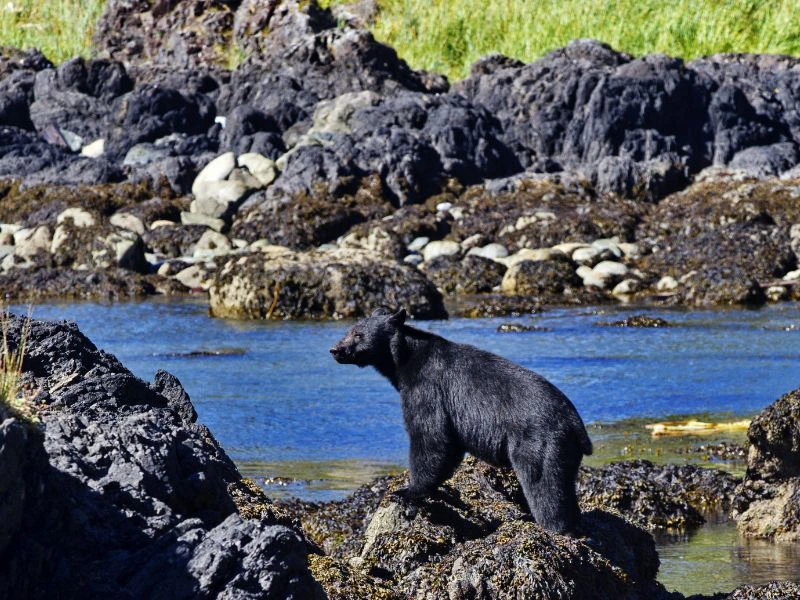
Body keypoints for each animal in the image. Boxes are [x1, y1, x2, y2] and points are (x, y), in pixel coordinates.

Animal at [330, 307, 593, 535]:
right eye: (350, 329)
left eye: (358, 333)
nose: (335, 349)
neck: (404, 360)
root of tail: (577, 426)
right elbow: (448, 446)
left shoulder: (427, 388)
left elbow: (430, 436)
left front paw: (407, 492)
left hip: (539, 444)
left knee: (544, 485)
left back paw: (553, 527)